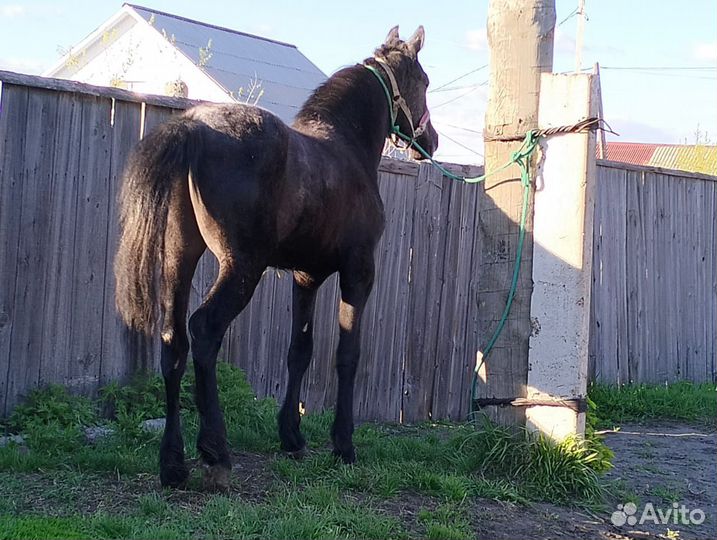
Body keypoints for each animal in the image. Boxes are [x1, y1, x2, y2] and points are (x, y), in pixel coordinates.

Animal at [114, 25, 438, 490]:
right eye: (424, 81)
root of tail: (194, 128)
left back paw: (173, 465)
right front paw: (343, 445)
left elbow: (299, 350)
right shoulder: (358, 273)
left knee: (173, 341)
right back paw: (216, 454)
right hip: (242, 268)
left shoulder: (306, 277)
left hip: (179, 258)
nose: (430, 142)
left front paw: (292, 437)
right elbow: (347, 355)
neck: (346, 149)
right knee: (204, 331)